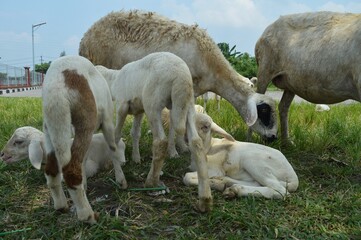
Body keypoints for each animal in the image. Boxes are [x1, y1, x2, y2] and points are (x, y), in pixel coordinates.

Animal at [41, 55, 126, 224]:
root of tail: (57, 88)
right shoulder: (107, 122)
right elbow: (113, 149)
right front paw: (121, 180)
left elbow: (85, 159)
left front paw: (85, 184)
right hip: (85, 120)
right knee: (71, 170)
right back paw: (88, 216)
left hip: (52, 127)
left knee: (52, 168)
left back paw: (61, 206)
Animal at [95, 52, 212, 212]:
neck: (113, 81)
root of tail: (181, 76)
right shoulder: (138, 110)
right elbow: (135, 132)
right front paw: (136, 158)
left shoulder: (122, 106)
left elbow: (116, 137)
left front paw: (118, 176)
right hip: (188, 105)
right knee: (196, 142)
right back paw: (204, 199)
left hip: (153, 102)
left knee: (160, 141)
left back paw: (151, 182)